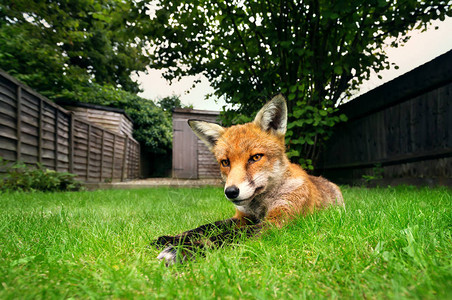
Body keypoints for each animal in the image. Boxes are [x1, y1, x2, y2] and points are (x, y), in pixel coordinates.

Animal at [151, 94, 342, 264]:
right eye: (225, 162)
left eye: (255, 157)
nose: (231, 192)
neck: (259, 206)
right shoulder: (242, 217)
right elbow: (206, 227)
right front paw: (173, 238)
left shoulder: (277, 221)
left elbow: (228, 235)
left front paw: (183, 250)